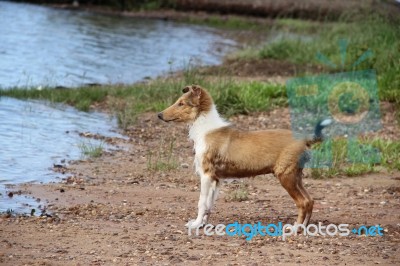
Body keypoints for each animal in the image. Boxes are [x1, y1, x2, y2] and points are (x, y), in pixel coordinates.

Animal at [158, 84, 330, 229]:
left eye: (181, 103)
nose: (159, 115)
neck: (204, 129)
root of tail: (304, 139)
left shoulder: (206, 175)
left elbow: (201, 202)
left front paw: (195, 225)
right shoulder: (215, 179)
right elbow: (209, 204)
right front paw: (202, 224)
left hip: (286, 176)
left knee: (303, 202)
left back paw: (295, 228)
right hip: (295, 176)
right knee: (310, 200)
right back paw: (304, 227)